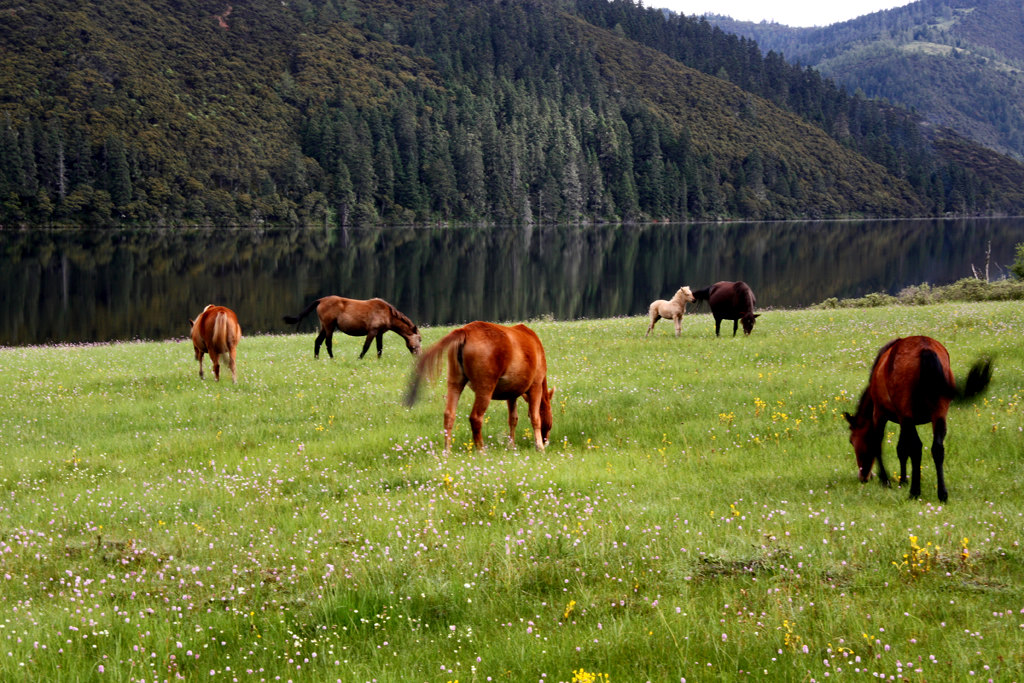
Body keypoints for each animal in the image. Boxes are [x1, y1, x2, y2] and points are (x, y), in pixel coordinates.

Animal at [280, 296, 419, 360]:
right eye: (420, 339)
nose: (418, 355)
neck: (387, 313)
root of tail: (321, 300)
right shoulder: (372, 331)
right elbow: (366, 347)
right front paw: (359, 358)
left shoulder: (379, 333)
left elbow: (379, 348)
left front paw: (379, 360)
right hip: (329, 326)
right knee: (328, 343)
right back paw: (332, 358)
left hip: (324, 326)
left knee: (318, 341)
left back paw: (317, 358)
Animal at [839, 335, 991, 501]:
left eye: (852, 441)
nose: (863, 477)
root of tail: (925, 349)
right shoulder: (902, 420)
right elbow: (901, 449)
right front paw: (902, 480)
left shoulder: (880, 414)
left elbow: (880, 445)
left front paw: (886, 480)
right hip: (938, 413)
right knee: (937, 448)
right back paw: (942, 494)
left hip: (907, 414)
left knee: (916, 447)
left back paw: (915, 491)